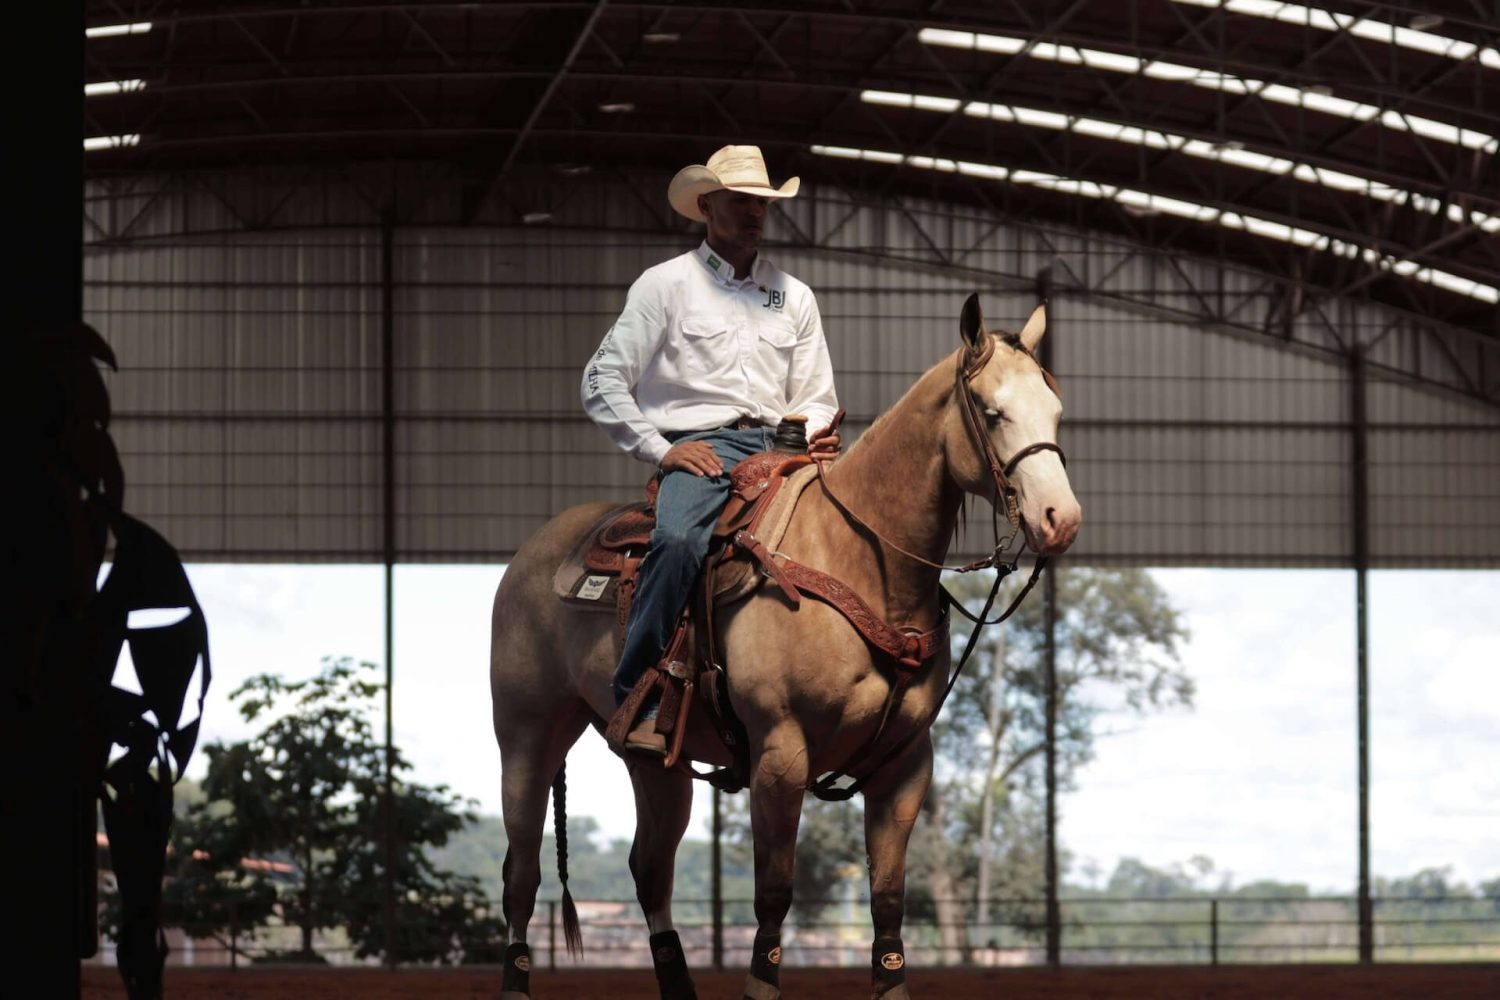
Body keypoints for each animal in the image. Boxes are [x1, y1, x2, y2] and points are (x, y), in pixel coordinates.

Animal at [489, 293, 1080, 995]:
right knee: (521, 874)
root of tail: (533, 551)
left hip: (653, 761)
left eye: (1056, 410)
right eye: (992, 412)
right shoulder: (781, 755)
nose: (1061, 520)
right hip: (527, 735)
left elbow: (888, 902)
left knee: (649, 870)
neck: (858, 561)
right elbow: (773, 895)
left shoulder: (906, 766)